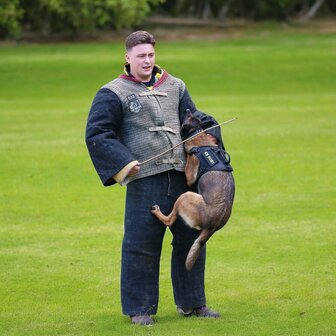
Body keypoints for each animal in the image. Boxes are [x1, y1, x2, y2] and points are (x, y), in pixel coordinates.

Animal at [151, 112, 235, 270]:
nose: (189, 109)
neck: (197, 134)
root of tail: (213, 227)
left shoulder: (190, 174)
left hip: (185, 196)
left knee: (169, 220)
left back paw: (158, 212)